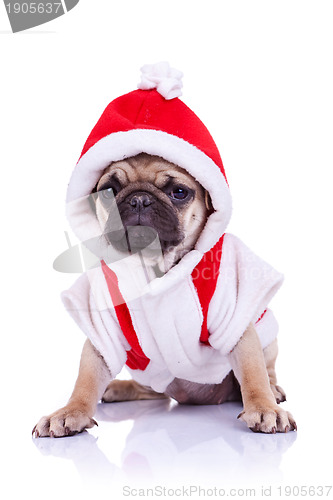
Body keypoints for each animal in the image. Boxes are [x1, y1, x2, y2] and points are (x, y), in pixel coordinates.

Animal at [32, 153, 294, 438]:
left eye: (179, 192)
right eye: (109, 191)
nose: (139, 199)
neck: (154, 267)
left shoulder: (233, 322)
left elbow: (252, 372)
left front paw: (264, 407)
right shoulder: (102, 332)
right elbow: (86, 379)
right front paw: (70, 412)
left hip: (267, 338)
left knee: (266, 370)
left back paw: (274, 391)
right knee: (152, 391)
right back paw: (120, 388)